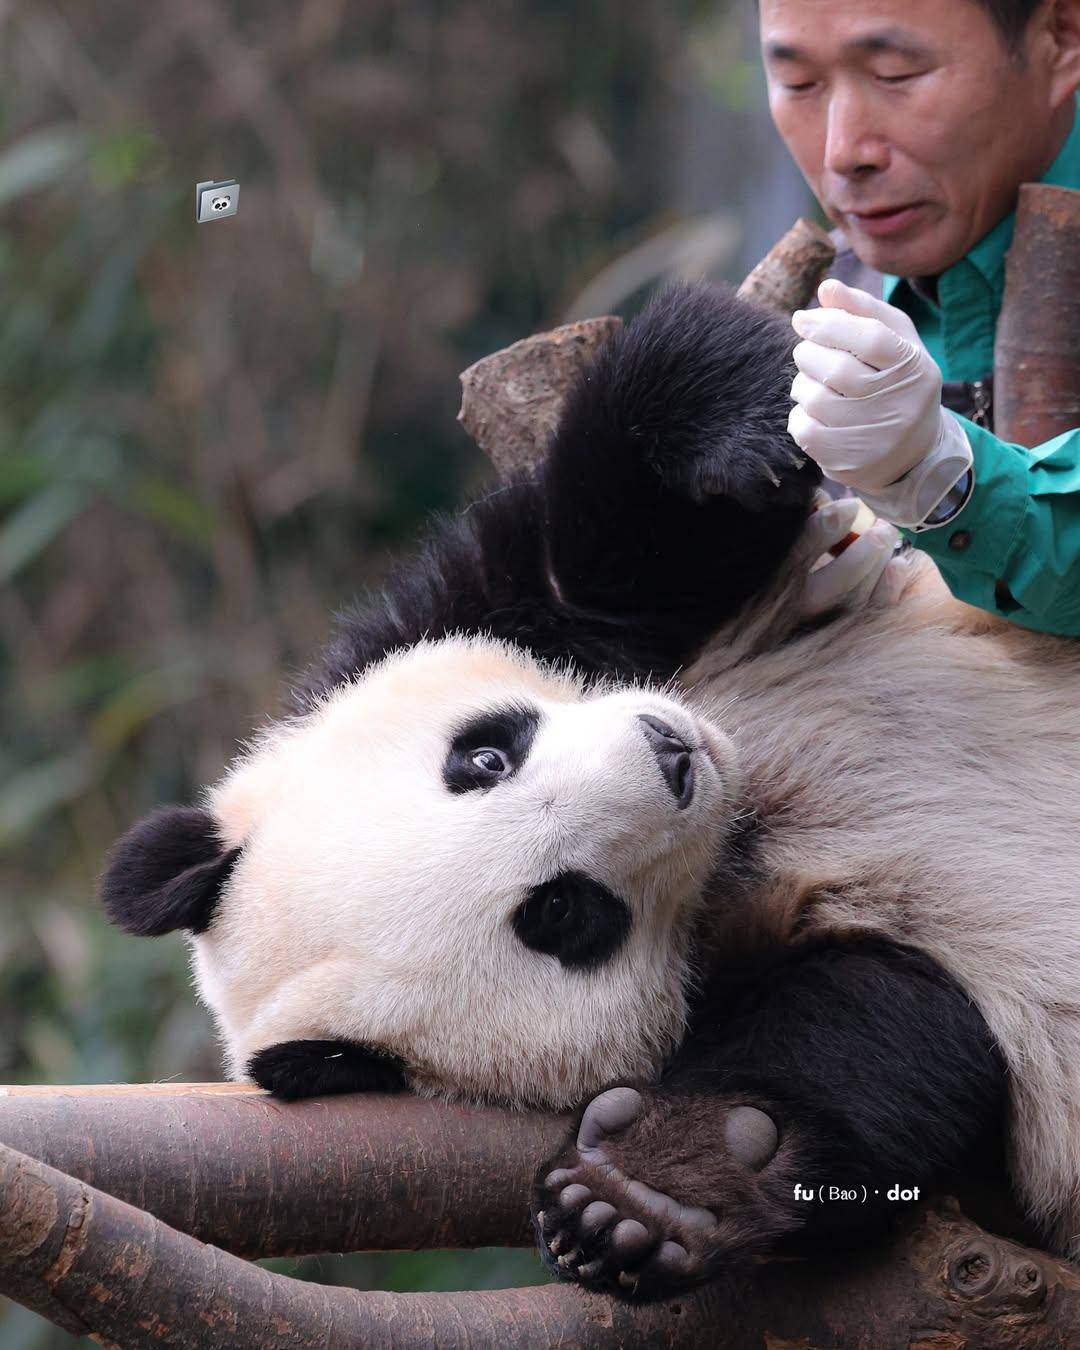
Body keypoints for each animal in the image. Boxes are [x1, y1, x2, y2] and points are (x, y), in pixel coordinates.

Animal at [99, 282, 1080, 1296]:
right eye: (562, 912)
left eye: (483, 759)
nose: (672, 757)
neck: (742, 829)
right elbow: (892, 1031)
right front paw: (653, 1191)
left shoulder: (470, 620)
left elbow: (601, 546)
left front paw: (791, 419)